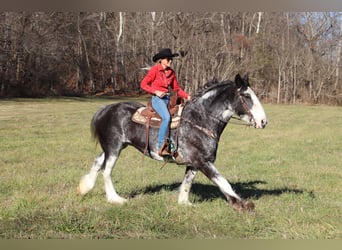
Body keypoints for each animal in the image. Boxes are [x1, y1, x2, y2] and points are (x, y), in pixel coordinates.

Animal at [77, 73, 268, 211]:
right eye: (246, 96)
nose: (263, 121)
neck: (201, 120)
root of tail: (106, 108)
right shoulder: (203, 161)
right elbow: (222, 181)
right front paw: (242, 205)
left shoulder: (194, 163)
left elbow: (187, 183)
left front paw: (184, 203)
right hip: (114, 148)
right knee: (106, 171)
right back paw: (115, 199)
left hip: (114, 147)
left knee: (98, 162)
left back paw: (84, 187)